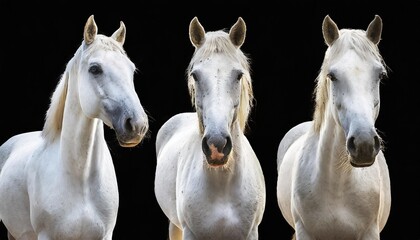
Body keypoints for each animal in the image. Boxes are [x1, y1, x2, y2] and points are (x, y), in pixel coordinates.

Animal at [154, 16, 266, 238]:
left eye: (239, 75)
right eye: (195, 75)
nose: (217, 145)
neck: (222, 185)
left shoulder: (251, 233)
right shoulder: (190, 233)